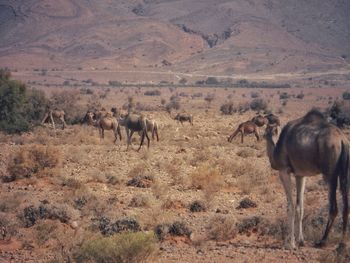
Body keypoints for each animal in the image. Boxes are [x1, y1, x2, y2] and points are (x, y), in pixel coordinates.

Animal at [266, 110, 350, 251]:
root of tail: (343, 140)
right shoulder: (300, 175)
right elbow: (300, 207)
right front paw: (301, 241)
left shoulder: (283, 171)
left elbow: (290, 206)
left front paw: (290, 244)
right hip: (345, 173)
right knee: (346, 205)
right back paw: (342, 243)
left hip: (330, 174)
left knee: (333, 207)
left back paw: (322, 241)